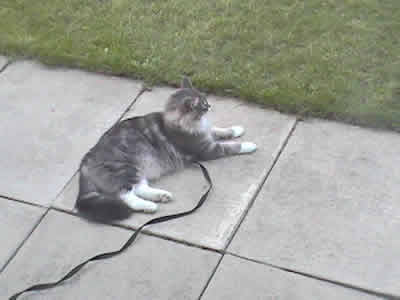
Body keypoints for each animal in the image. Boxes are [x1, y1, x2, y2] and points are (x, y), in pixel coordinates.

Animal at [75, 77, 256, 223]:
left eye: (205, 100)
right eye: (203, 104)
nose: (210, 105)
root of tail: (84, 163)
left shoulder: (207, 134)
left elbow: (220, 130)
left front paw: (236, 129)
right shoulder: (208, 149)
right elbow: (232, 146)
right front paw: (250, 145)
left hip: (137, 171)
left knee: (140, 188)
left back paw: (161, 196)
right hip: (126, 168)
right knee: (127, 196)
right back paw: (149, 206)